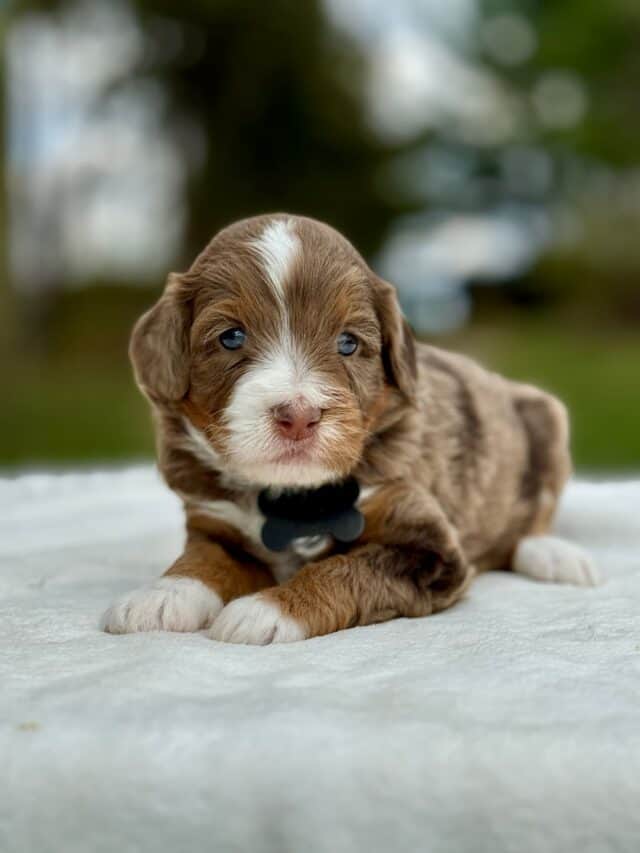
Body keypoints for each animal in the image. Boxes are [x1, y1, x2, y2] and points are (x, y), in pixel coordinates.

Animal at [102, 215, 596, 644]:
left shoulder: (425, 546)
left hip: (545, 418)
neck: (293, 496)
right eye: (231, 337)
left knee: (536, 515)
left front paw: (267, 609)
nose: (299, 415)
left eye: (347, 343)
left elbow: (344, 568)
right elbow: (204, 558)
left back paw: (554, 555)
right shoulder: (215, 520)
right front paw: (162, 595)